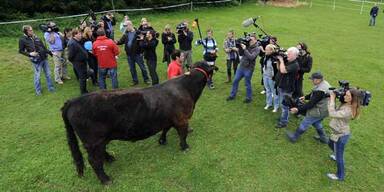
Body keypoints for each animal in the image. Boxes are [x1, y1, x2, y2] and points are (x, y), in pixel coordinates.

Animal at [61, 61, 218, 184]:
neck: (186, 88)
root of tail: (74, 100)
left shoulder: (168, 118)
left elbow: (165, 129)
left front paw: (162, 140)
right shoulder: (182, 119)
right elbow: (182, 135)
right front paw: (184, 147)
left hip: (99, 140)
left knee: (101, 153)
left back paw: (110, 158)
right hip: (93, 141)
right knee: (94, 161)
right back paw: (106, 179)